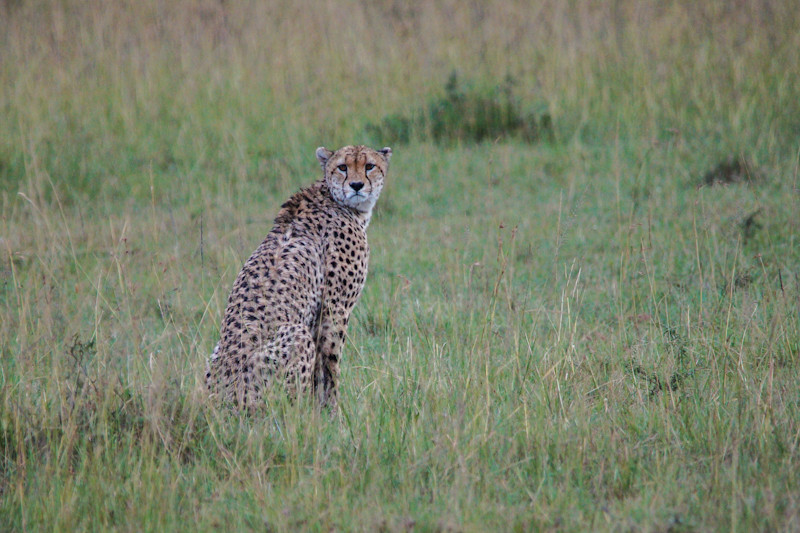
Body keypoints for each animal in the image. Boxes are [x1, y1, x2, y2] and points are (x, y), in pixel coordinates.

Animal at [205, 144, 392, 409]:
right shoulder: (335, 309)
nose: (356, 185)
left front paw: (319, 409)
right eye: (342, 167)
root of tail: (221, 401)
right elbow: (330, 363)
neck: (333, 198)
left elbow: (318, 371)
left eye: (369, 166)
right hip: (295, 338)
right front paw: (332, 411)